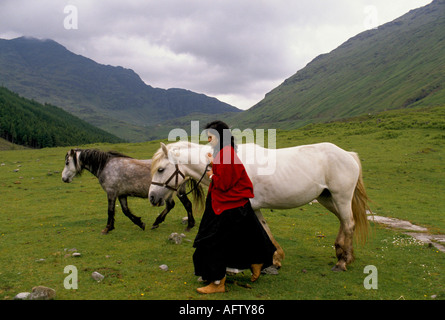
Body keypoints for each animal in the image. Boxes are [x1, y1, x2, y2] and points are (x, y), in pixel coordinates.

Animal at [148, 141, 368, 272]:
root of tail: (348, 154)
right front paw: (276, 259)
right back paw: (342, 253)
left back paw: (342, 261)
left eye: (161, 169)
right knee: (344, 221)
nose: (151, 197)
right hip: (327, 198)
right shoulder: (254, 207)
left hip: (341, 197)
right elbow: (265, 229)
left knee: (349, 224)